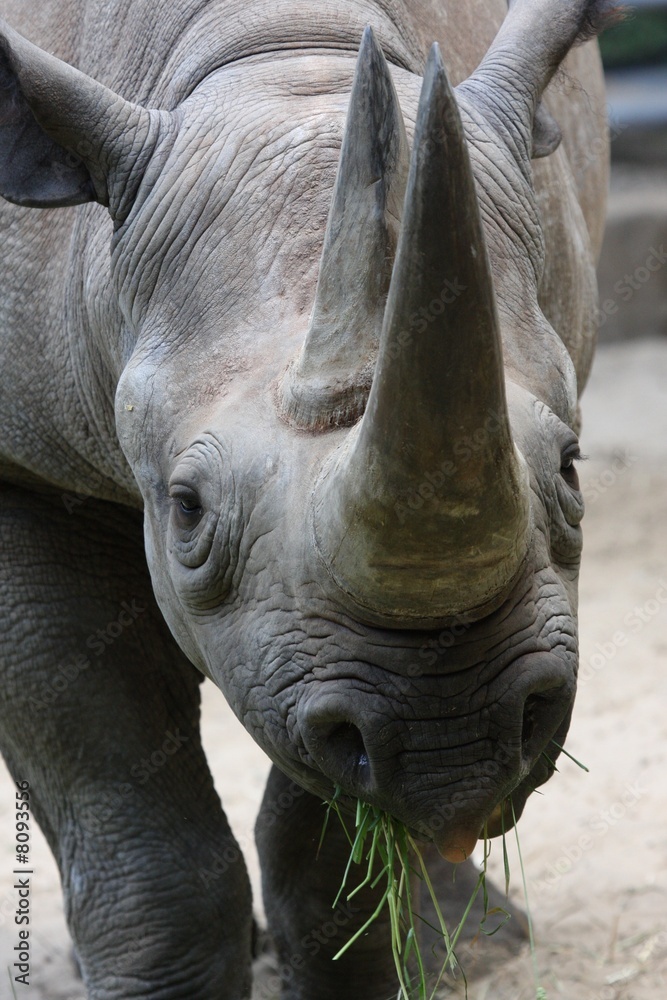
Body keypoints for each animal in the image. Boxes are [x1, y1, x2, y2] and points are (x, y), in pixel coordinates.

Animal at [0, 0, 614, 996]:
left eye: (568, 469)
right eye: (187, 510)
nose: (453, 742)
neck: (280, 50)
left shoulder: (318, 649)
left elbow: (323, 842)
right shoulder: (24, 468)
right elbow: (125, 803)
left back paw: (467, 945)